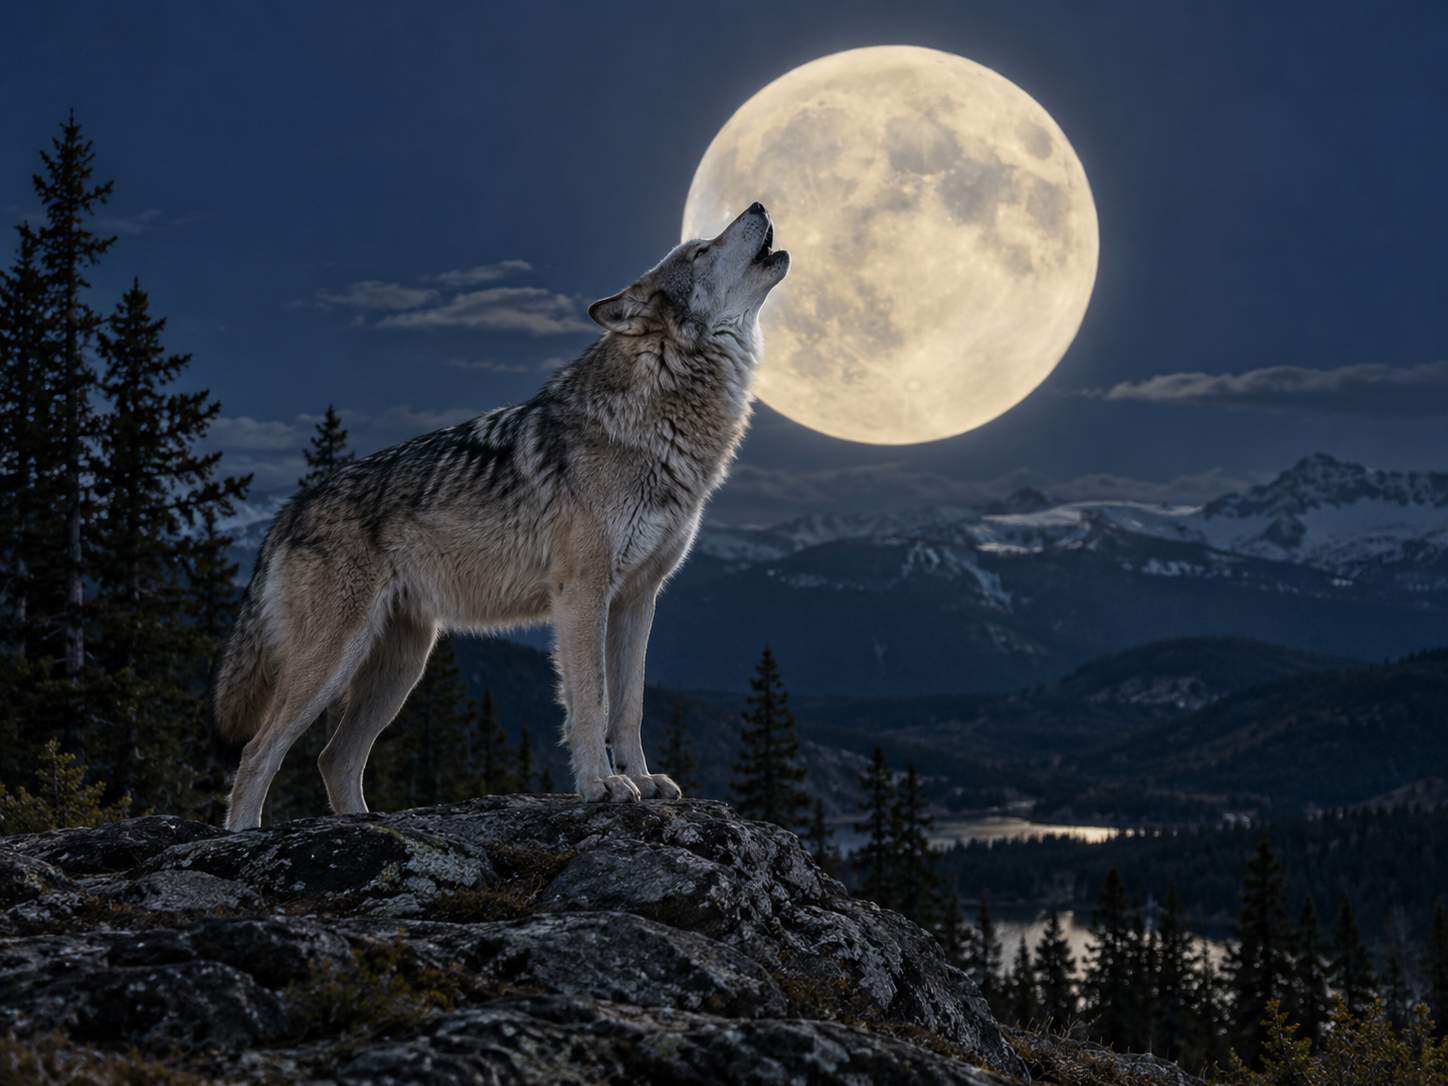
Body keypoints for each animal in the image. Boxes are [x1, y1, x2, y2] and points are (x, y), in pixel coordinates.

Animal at [211, 204, 789, 830]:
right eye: (701, 251)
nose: (758, 205)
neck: (662, 414)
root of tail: (289, 509)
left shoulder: (638, 597)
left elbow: (630, 706)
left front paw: (642, 780)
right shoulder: (582, 592)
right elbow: (593, 700)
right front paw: (600, 786)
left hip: (402, 666)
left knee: (333, 758)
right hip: (334, 660)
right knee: (257, 753)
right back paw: (244, 836)